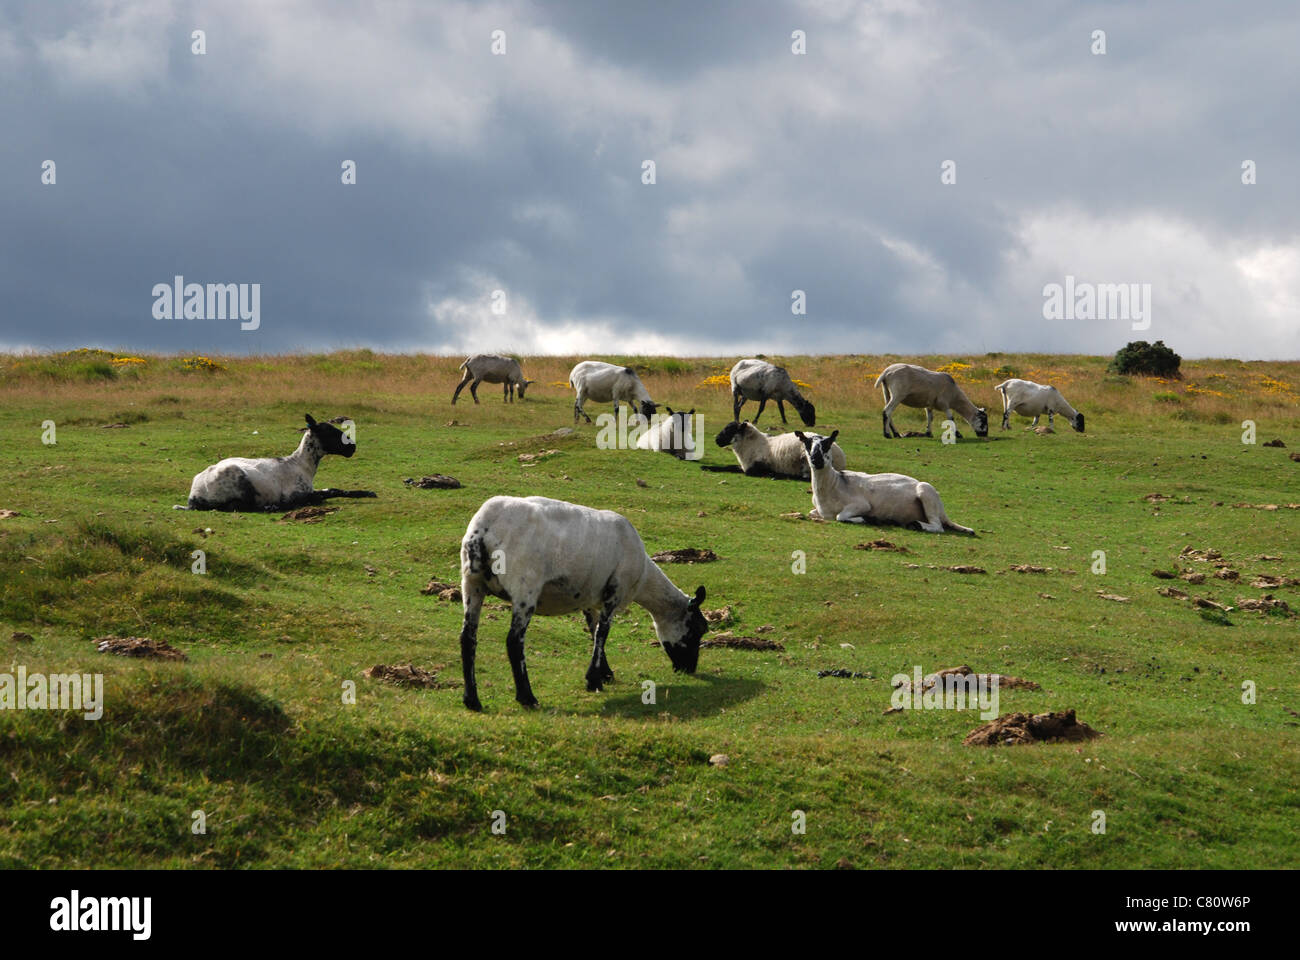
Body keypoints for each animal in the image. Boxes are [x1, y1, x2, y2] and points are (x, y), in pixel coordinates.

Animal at [176, 416, 377, 512]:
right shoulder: (295, 495)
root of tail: (193, 496)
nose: (352, 447)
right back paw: (270, 507)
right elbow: (318, 498)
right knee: (237, 506)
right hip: (238, 484)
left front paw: (368, 493)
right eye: (329, 432)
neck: (301, 465)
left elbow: (334, 490)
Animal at [454, 494, 707, 712]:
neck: (643, 577)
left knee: (468, 638)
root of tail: (485, 528)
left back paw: (472, 700)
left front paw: (604, 673)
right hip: (525, 586)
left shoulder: (589, 596)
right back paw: (527, 697)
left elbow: (594, 631)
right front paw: (594, 680)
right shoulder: (615, 591)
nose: (689, 669)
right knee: (514, 641)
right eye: (698, 629)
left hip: (472, 582)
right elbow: (603, 632)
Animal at [790, 431, 977, 535]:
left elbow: (840, 516)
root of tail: (942, 508)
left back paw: (915, 524)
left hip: (926, 492)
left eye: (828, 443)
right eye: (807, 443)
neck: (832, 485)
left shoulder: (861, 504)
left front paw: (869, 519)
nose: (817, 460)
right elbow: (812, 513)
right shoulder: (818, 510)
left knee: (938, 526)